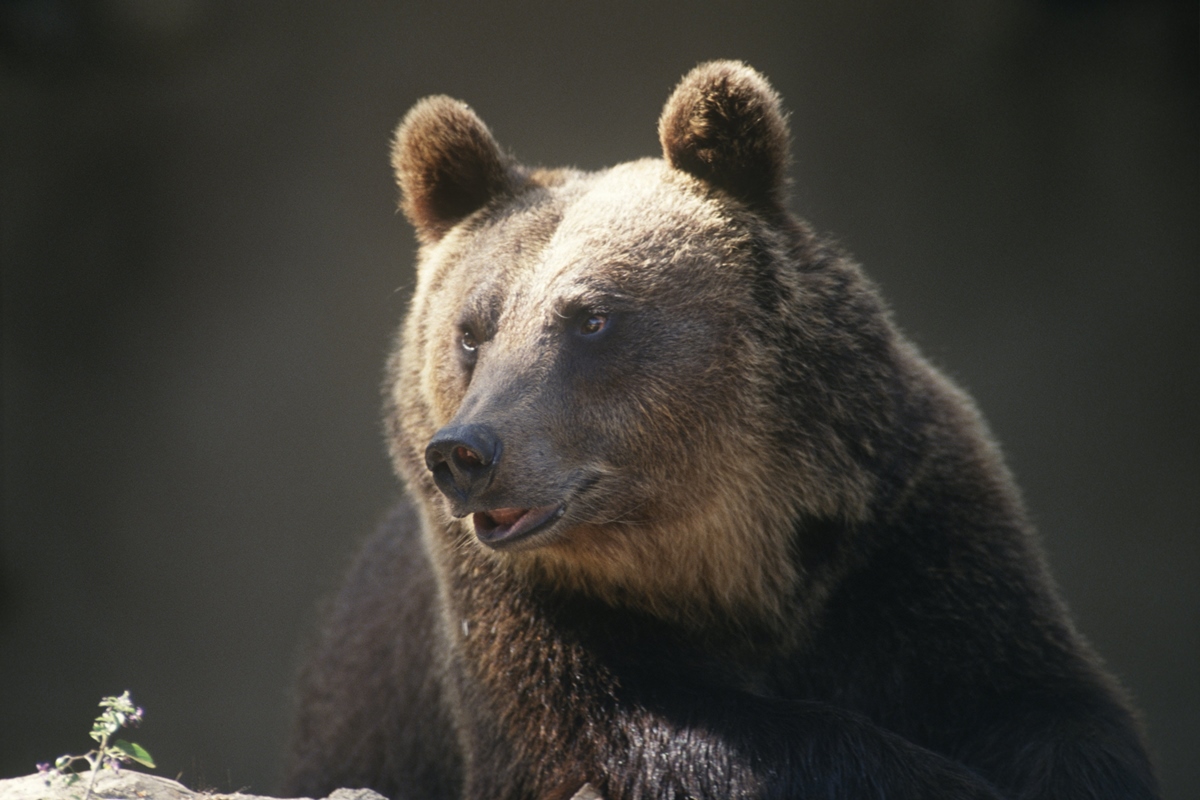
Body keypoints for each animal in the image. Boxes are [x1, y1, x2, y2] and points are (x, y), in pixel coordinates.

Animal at [282, 61, 1158, 799]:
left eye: (591, 318)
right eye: (472, 331)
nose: (466, 453)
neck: (723, 551)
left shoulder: (904, 532)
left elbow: (1043, 702)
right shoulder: (521, 613)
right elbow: (637, 737)